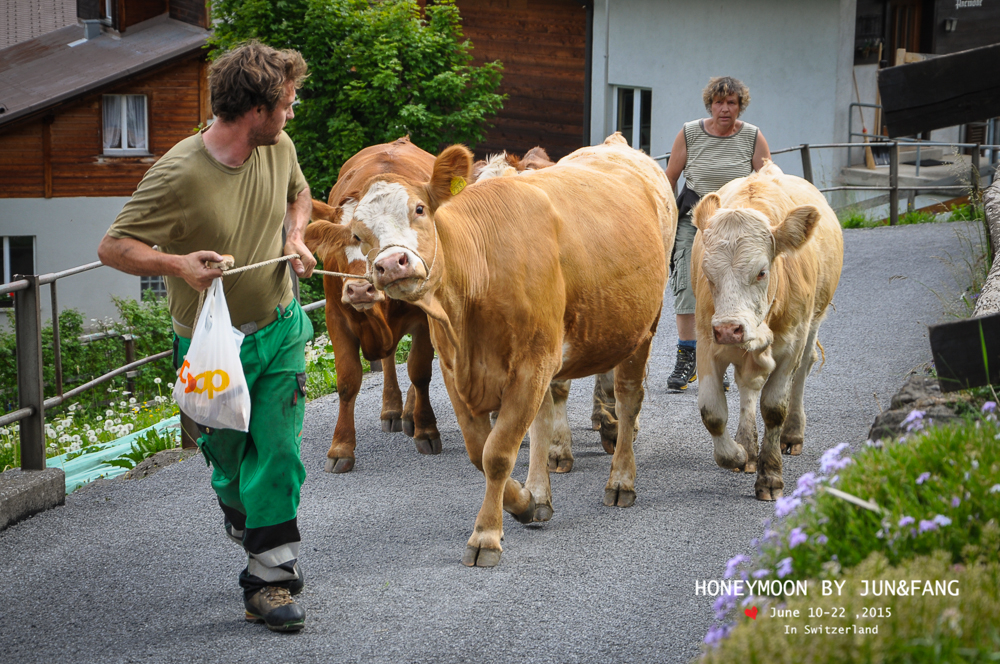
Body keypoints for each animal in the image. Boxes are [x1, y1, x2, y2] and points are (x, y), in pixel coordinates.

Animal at [302, 137, 440, 474]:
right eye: (340, 243)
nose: (358, 289)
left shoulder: (424, 317)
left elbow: (420, 370)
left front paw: (426, 429)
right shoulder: (336, 316)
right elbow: (348, 380)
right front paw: (341, 447)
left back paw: (410, 414)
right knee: (389, 360)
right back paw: (392, 409)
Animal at [348, 134, 676, 564]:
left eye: (419, 209)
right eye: (358, 234)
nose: (392, 263)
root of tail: (615, 144)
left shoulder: (531, 365)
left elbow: (498, 454)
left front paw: (486, 535)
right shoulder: (457, 371)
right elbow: (480, 451)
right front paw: (525, 502)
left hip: (643, 326)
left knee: (628, 397)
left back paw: (621, 478)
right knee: (546, 415)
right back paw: (541, 488)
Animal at [692, 163, 848, 500]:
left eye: (762, 272)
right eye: (708, 274)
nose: (729, 329)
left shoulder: (792, 343)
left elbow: (774, 408)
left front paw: (771, 476)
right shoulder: (707, 341)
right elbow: (712, 412)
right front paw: (738, 453)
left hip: (813, 324)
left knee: (803, 370)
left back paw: (791, 434)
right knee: (748, 384)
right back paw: (749, 449)